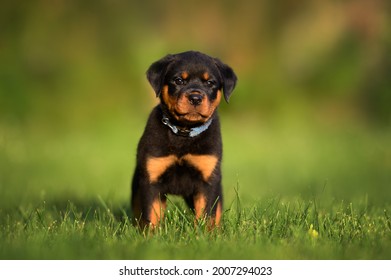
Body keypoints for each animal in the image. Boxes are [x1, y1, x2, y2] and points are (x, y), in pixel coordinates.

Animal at [132, 50, 237, 229]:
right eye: (179, 80)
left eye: (210, 83)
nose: (195, 98)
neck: (183, 133)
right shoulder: (151, 178)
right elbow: (151, 215)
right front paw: (152, 234)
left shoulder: (207, 180)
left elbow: (206, 214)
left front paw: (203, 233)